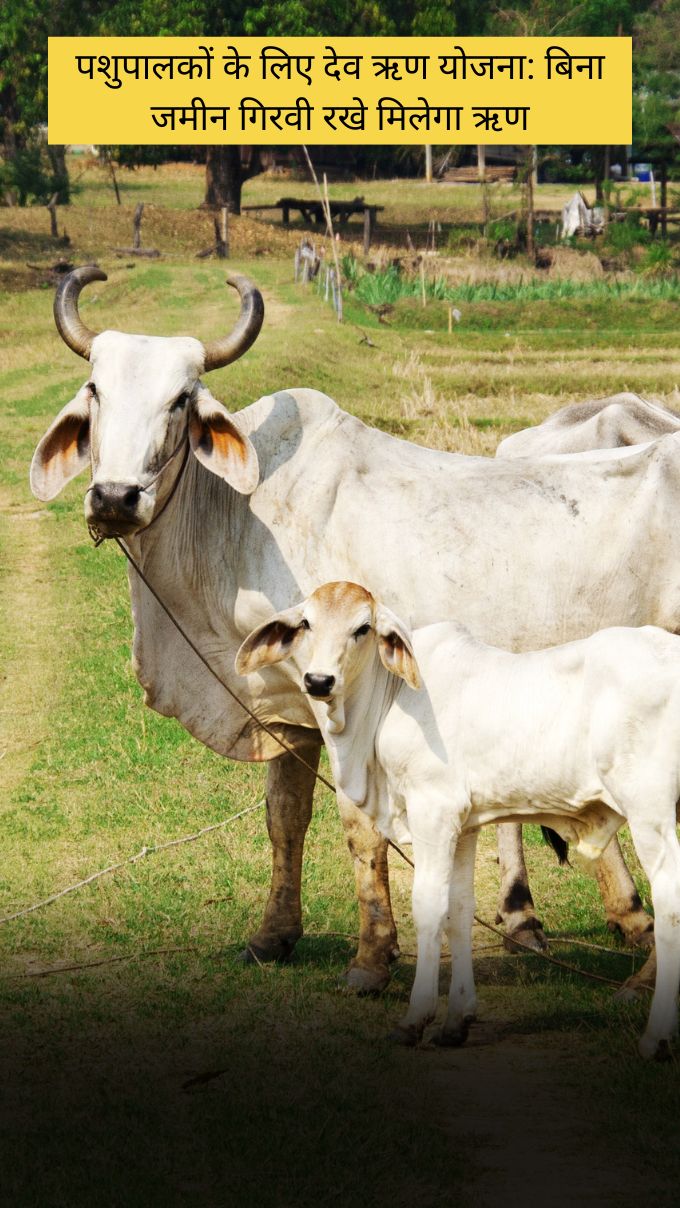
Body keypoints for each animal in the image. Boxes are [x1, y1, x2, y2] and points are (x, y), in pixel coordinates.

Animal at [33, 266, 680, 990]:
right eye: (96, 390)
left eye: (180, 400)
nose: (115, 497)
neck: (231, 514)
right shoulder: (286, 706)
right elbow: (285, 817)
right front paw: (273, 935)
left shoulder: (341, 697)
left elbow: (358, 824)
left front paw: (372, 956)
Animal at [239, 579, 680, 1063]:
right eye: (306, 623)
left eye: (362, 629)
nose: (319, 681)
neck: (388, 703)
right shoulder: (464, 825)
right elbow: (460, 908)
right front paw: (456, 1021)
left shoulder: (433, 812)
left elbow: (430, 908)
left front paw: (415, 1019)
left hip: (649, 812)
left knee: (671, 903)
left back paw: (656, 1036)